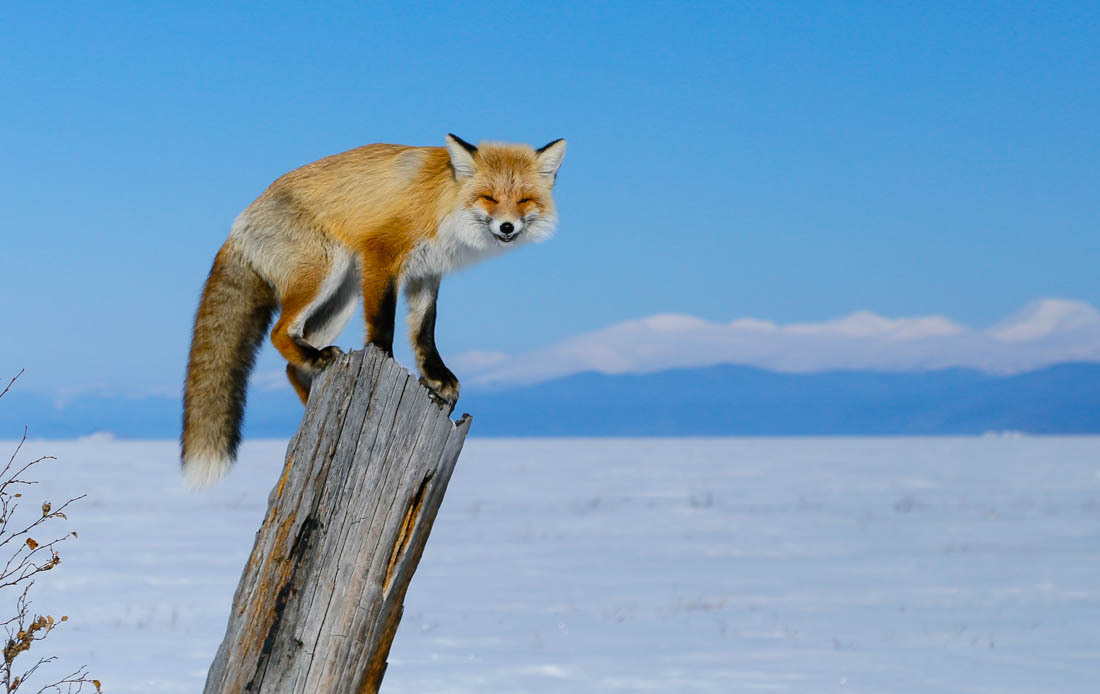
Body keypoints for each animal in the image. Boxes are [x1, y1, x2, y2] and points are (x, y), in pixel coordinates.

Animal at [180, 133, 567, 486]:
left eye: (524, 200)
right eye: (489, 197)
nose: (507, 226)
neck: (443, 205)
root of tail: (239, 224)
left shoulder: (426, 273)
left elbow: (424, 331)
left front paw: (436, 378)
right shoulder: (382, 254)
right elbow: (383, 324)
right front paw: (385, 361)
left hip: (341, 298)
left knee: (291, 366)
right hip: (325, 272)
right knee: (279, 332)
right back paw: (316, 360)